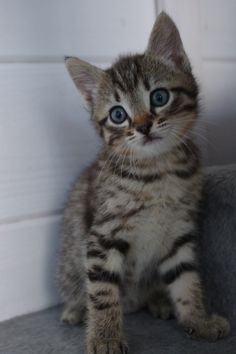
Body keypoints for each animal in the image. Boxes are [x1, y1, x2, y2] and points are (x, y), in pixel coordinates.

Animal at [56, 11, 229, 354]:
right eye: (118, 115)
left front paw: (198, 320)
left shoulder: (178, 229)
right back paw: (75, 310)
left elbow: (186, 278)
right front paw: (105, 337)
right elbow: (102, 291)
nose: (144, 126)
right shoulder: (103, 234)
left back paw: (158, 301)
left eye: (159, 97)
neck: (157, 172)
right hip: (70, 258)